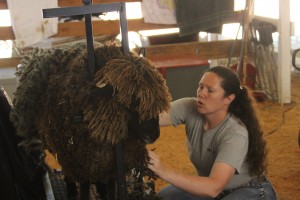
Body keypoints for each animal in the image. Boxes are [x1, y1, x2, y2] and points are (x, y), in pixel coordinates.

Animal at [11, 41, 171, 199]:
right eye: (132, 101)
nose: (153, 136)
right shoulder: (83, 168)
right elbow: (84, 191)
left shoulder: (110, 168)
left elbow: (111, 190)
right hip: (66, 156)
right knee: (68, 176)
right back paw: (72, 192)